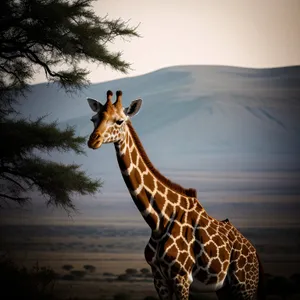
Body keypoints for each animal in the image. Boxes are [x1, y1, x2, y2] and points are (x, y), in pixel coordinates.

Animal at [85, 89, 264, 300]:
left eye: (119, 121)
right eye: (94, 118)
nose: (93, 140)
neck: (158, 220)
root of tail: (255, 254)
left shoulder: (181, 277)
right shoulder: (159, 278)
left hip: (245, 286)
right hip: (225, 289)